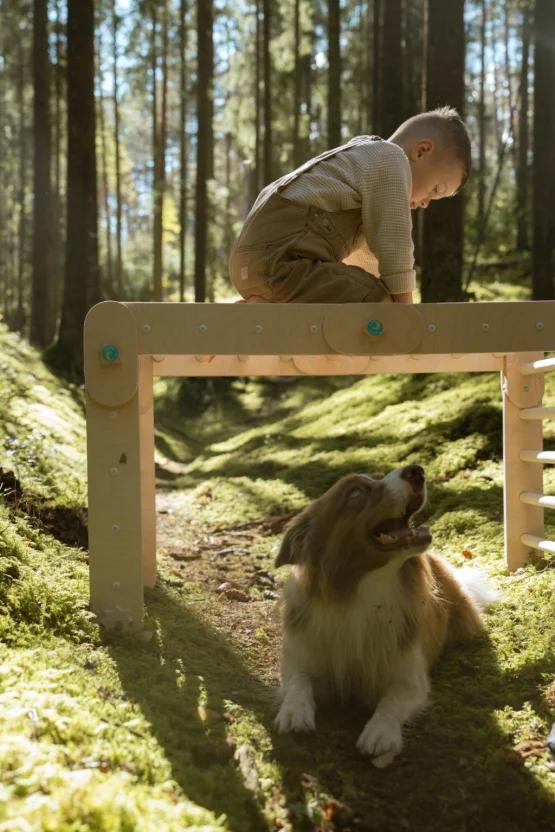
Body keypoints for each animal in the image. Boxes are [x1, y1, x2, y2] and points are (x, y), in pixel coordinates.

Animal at [276, 464, 498, 764]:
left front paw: (380, 733)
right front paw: (293, 711)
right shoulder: (302, 655)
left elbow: (391, 702)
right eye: (355, 492)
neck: (367, 589)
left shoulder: (409, 677)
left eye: (378, 476)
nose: (416, 470)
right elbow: (297, 682)